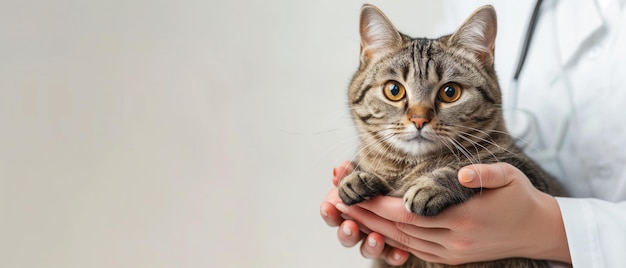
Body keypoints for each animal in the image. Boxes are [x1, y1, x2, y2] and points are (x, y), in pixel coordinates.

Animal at [336, 4, 564, 268]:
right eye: (393, 90)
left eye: (450, 92)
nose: (419, 119)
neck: (412, 166)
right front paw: (356, 176)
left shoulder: (532, 175)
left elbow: (472, 164)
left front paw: (431, 186)